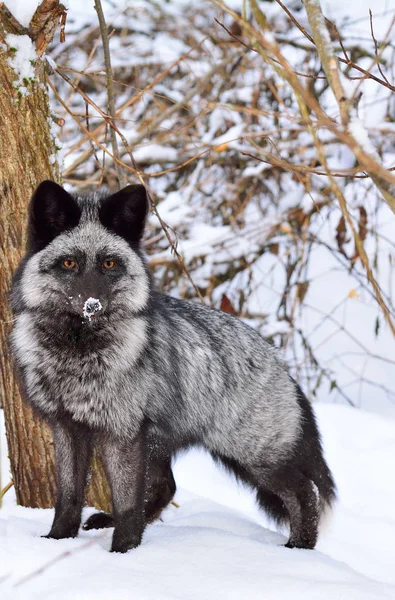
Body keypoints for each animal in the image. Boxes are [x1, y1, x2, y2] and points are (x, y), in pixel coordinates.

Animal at [10, 182, 336, 552]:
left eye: (109, 263)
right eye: (69, 262)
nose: (93, 304)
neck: (77, 355)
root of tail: (280, 362)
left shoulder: (121, 431)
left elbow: (126, 503)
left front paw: (122, 552)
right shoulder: (67, 428)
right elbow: (68, 497)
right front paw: (57, 540)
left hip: (254, 457)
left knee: (305, 492)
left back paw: (300, 549)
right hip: (165, 445)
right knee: (167, 487)